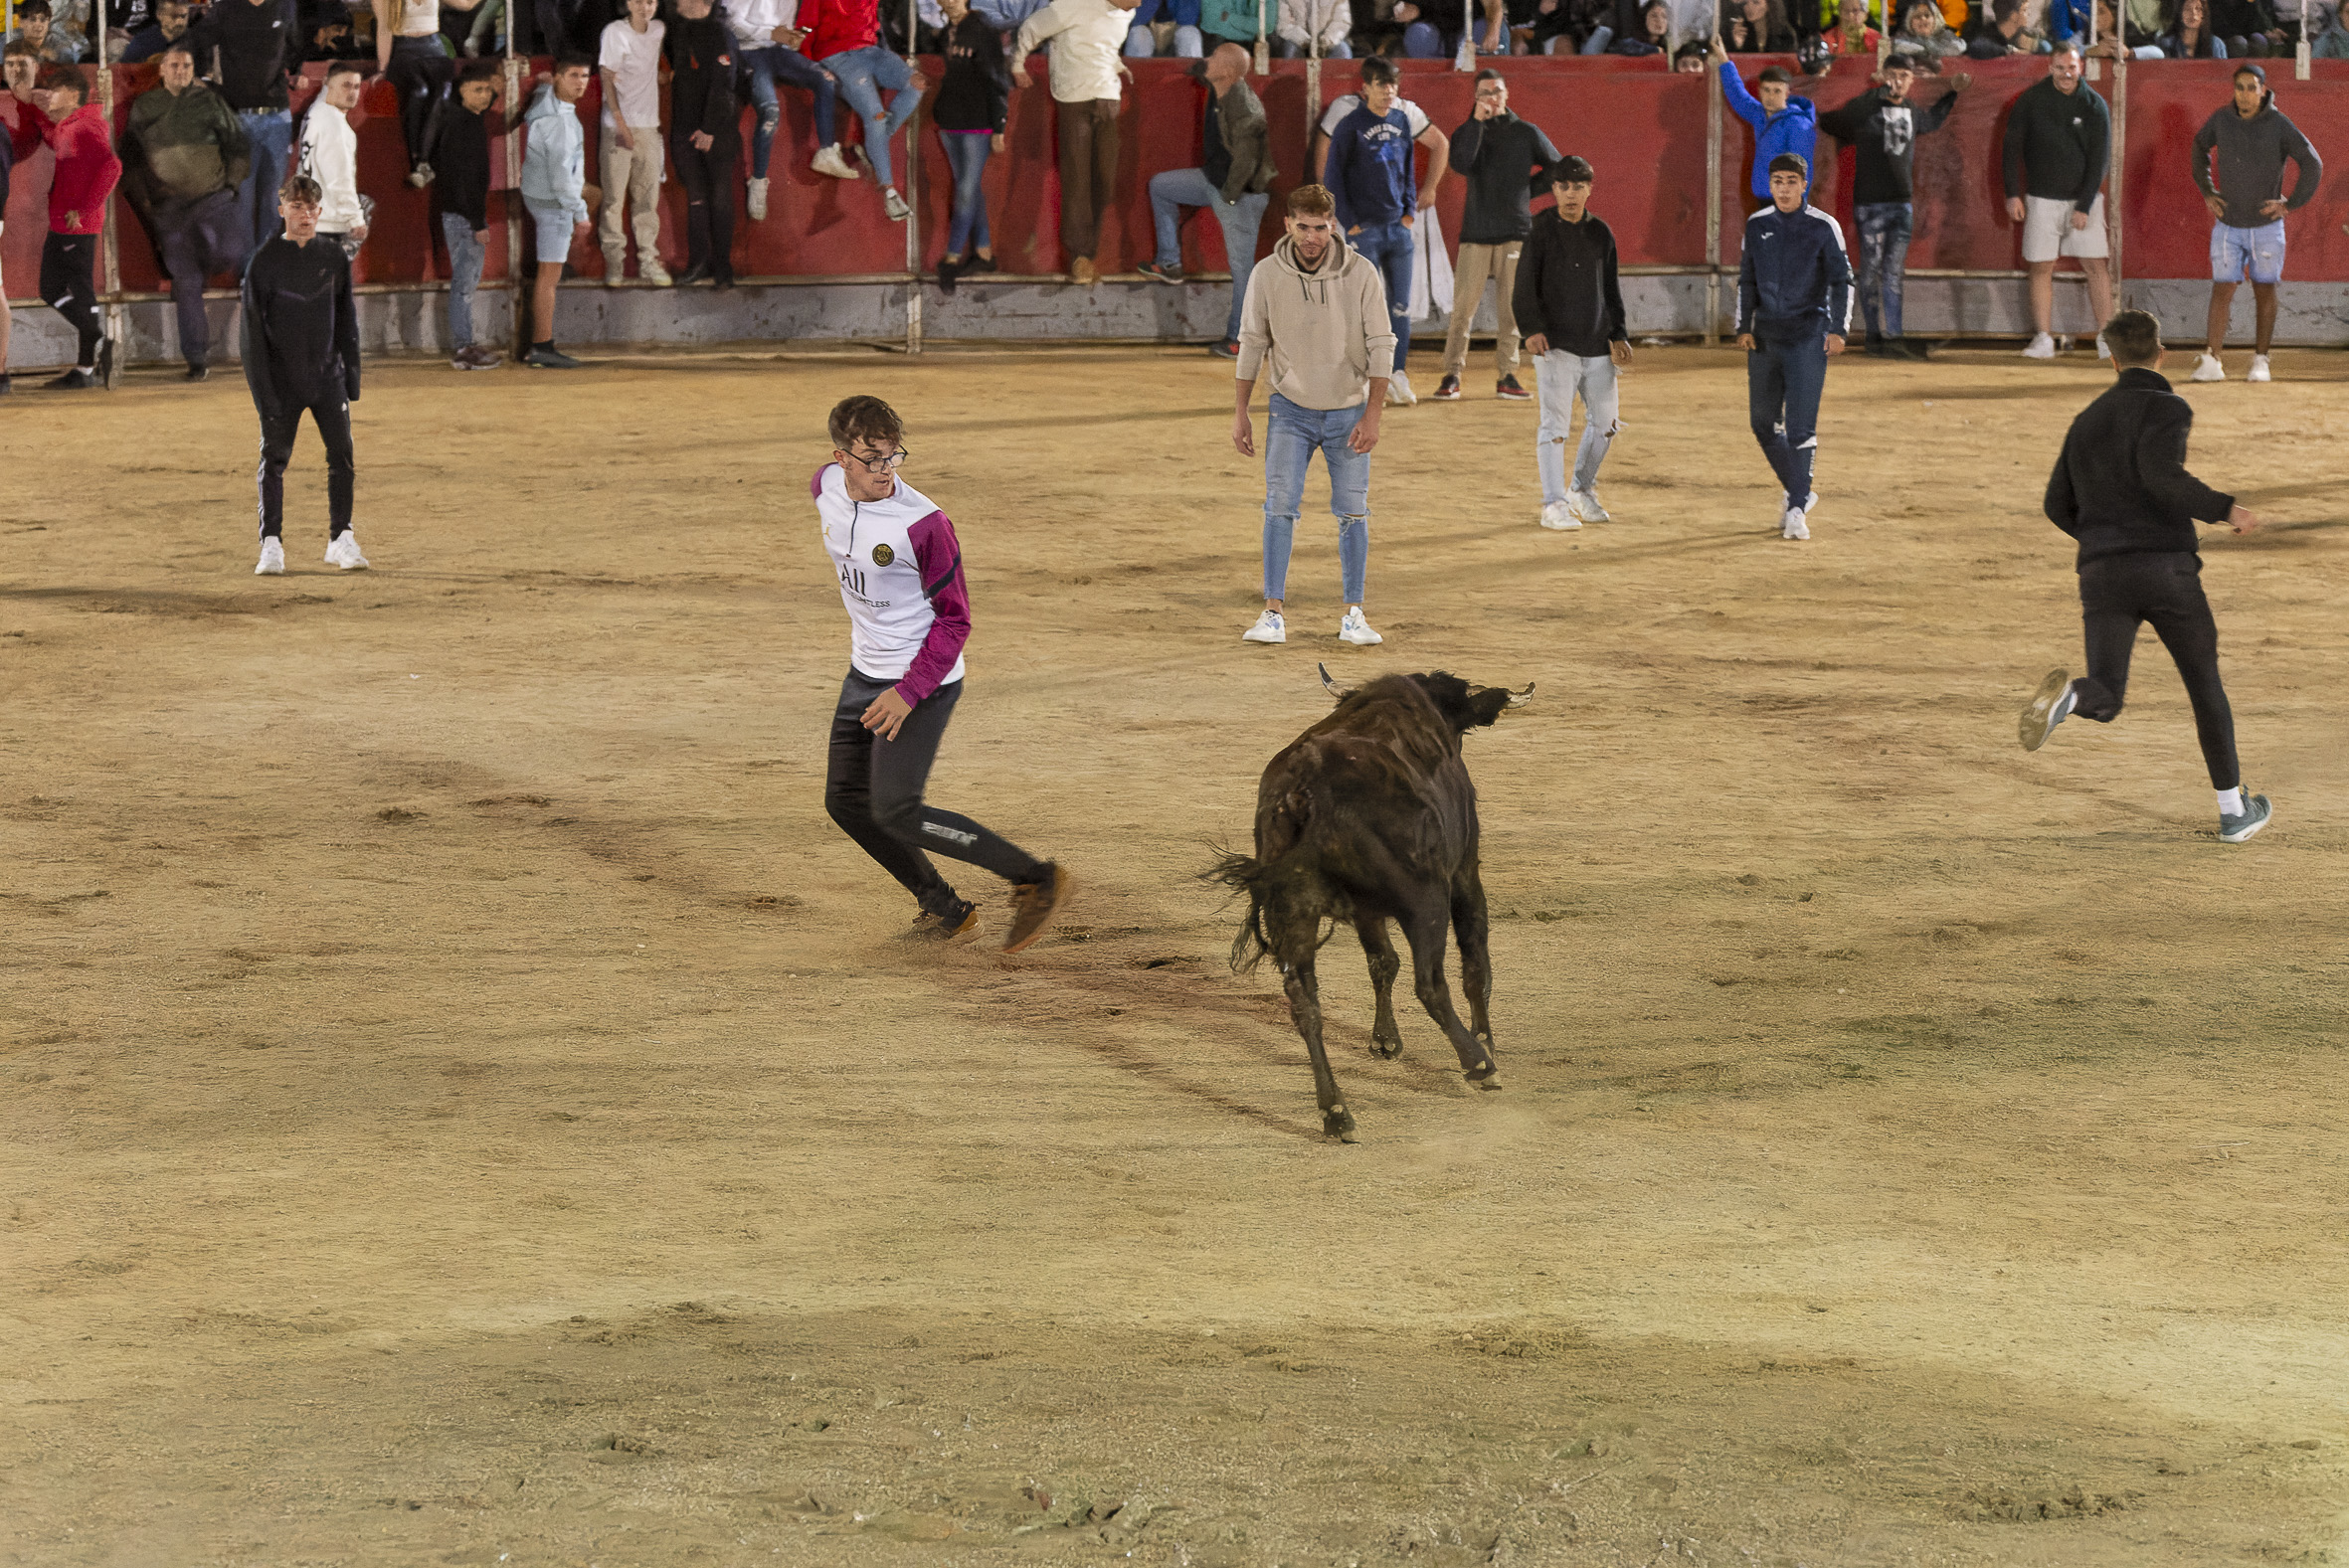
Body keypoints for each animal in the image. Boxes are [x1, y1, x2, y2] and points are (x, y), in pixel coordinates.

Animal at [1202, 671, 1532, 1140]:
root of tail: (1307, 791)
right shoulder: (1464, 873)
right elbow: (1475, 960)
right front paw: (1485, 1041)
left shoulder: (1365, 910)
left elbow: (1382, 961)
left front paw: (1385, 1039)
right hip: (1426, 901)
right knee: (1431, 985)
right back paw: (1479, 1065)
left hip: (1294, 908)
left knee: (1305, 1002)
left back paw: (1336, 1112)